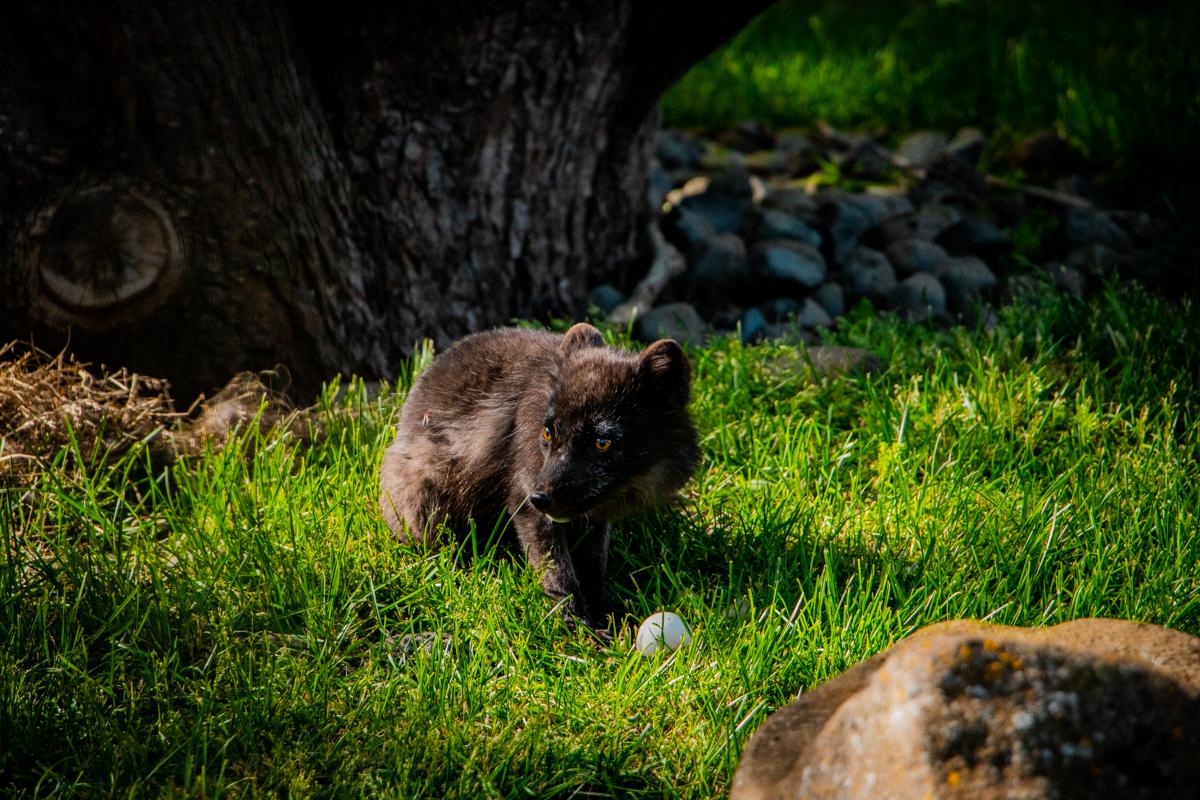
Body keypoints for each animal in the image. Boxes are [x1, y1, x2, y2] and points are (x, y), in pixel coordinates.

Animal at [378, 322, 700, 638]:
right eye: (547, 433)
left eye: (602, 442)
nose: (540, 498)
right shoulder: (526, 500)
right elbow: (558, 573)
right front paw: (578, 629)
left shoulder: (593, 520)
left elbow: (592, 567)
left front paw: (605, 615)